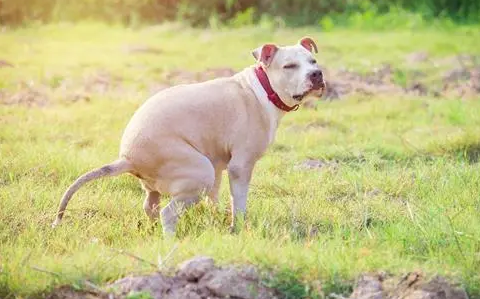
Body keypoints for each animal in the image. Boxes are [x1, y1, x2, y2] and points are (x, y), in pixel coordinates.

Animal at [52, 35, 324, 237]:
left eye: (313, 61)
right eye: (289, 66)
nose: (317, 74)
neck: (263, 89)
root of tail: (127, 158)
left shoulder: (218, 165)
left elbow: (215, 197)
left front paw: (218, 218)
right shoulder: (240, 166)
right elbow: (239, 203)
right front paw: (238, 228)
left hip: (173, 180)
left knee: (150, 206)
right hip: (199, 171)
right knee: (168, 214)